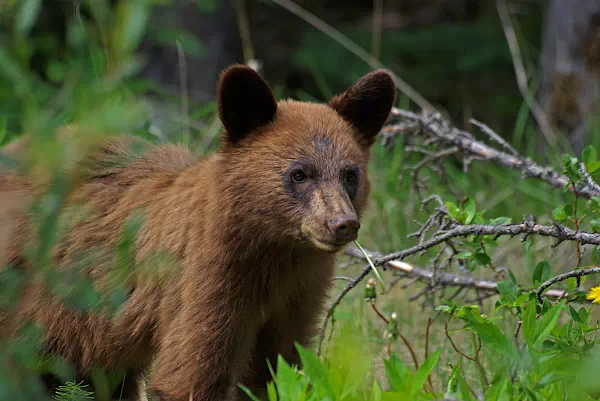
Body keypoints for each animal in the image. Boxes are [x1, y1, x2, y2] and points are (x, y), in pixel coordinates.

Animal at [0, 64, 396, 398]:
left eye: (350, 174)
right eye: (299, 173)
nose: (342, 223)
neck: (273, 253)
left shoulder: (298, 295)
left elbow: (277, 370)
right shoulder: (205, 280)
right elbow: (192, 371)